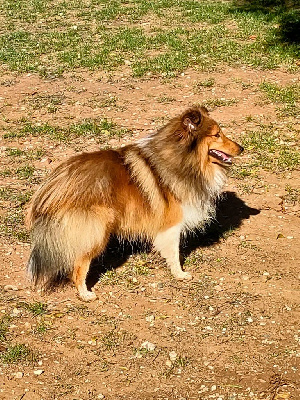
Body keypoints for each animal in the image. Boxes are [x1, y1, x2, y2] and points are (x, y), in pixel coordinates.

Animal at [24, 106, 243, 300]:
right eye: (217, 135)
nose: (241, 148)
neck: (182, 158)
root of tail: (52, 185)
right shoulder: (172, 224)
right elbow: (174, 252)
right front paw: (180, 274)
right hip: (97, 229)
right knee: (79, 265)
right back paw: (86, 294)